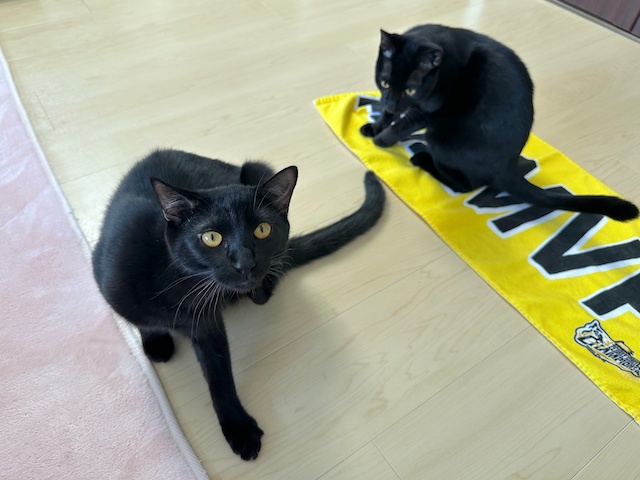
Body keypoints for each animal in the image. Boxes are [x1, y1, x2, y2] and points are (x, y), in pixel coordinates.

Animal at [92, 149, 385, 460]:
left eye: (262, 230)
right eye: (211, 237)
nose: (245, 264)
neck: (180, 287)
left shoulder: (208, 324)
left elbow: (221, 376)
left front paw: (238, 428)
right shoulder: (109, 281)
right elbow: (142, 321)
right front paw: (156, 341)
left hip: (259, 171)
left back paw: (258, 291)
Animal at [361, 24, 639, 222]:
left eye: (410, 89)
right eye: (384, 83)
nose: (391, 102)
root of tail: (507, 167)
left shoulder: (427, 110)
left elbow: (400, 125)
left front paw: (381, 140)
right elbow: (390, 117)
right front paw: (374, 127)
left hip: (440, 136)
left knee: (464, 185)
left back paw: (422, 158)